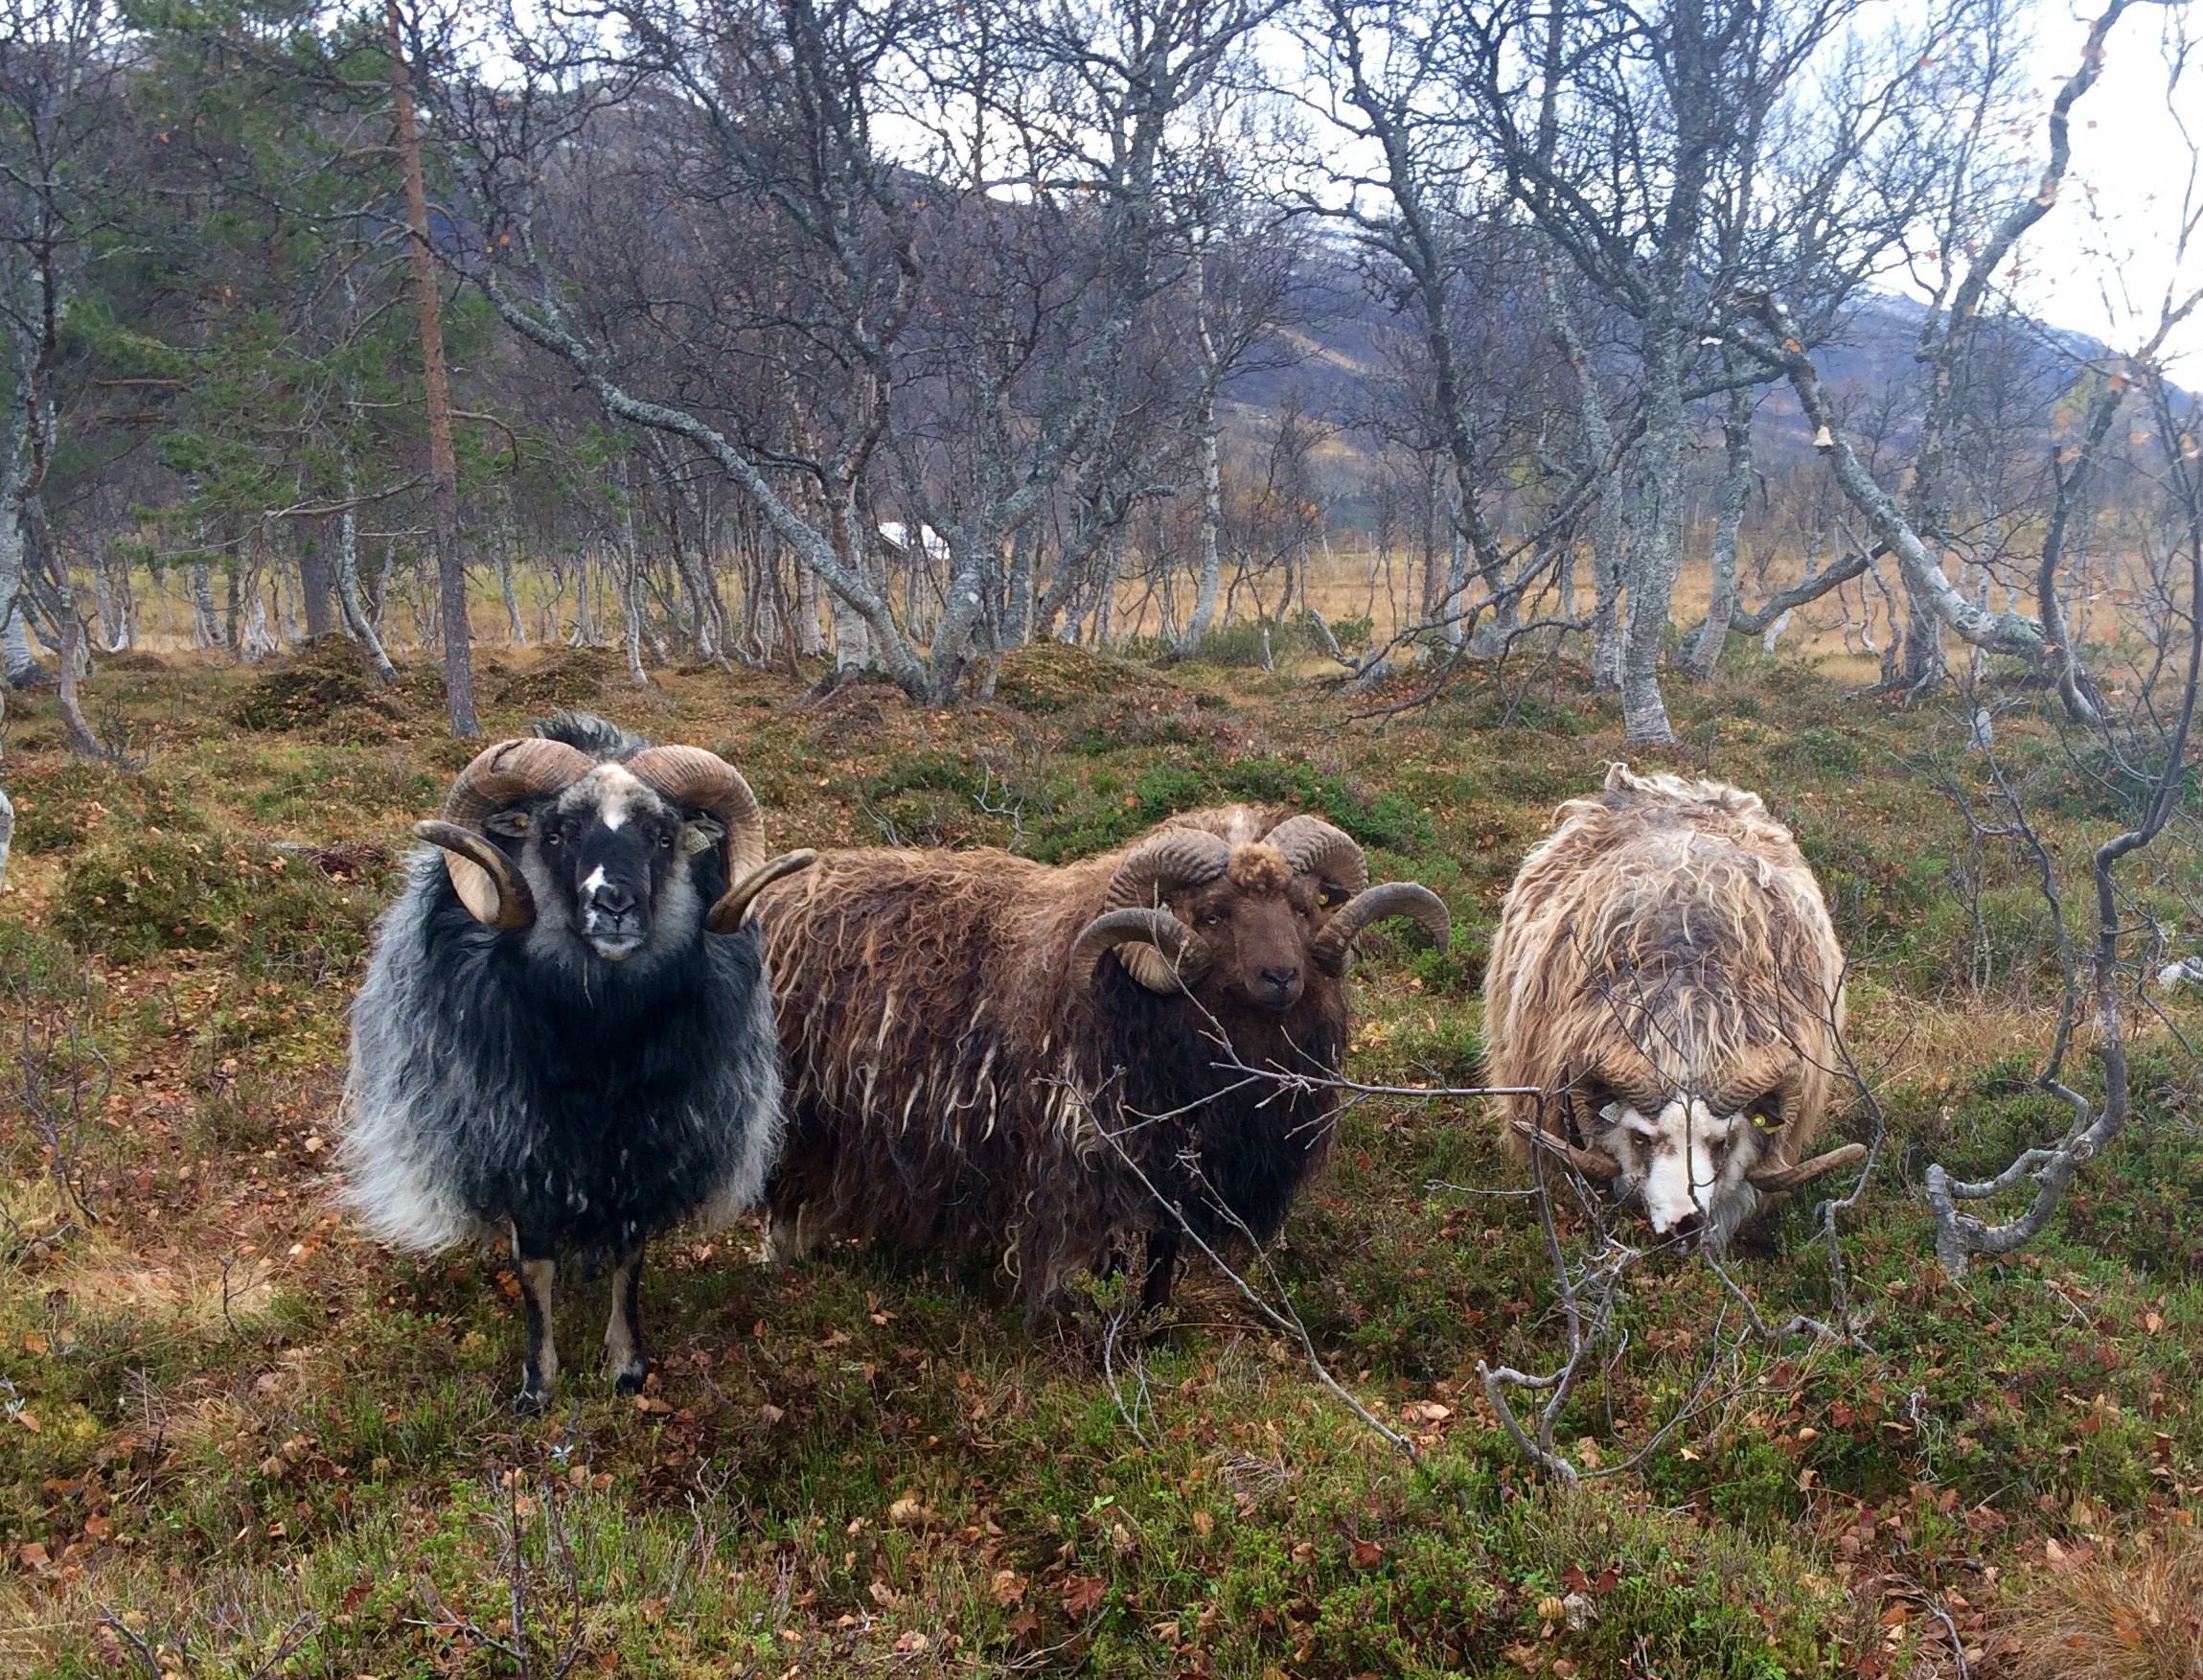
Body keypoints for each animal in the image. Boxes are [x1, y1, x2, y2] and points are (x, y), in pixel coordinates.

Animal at [339, 712, 814, 1408]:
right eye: (557, 833)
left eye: (663, 835)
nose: (614, 905)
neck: (599, 1050)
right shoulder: (525, 1156)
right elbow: (534, 1267)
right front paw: (538, 1385)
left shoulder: (641, 1158)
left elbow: (628, 1261)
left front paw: (627, 1366)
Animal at [753, 805, 1450, 1313]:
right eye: (1213, 915)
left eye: (1301, 908)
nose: (1282, 977)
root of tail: (769, 897)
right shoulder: (1086, 1164)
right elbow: (1101, 1258)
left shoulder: (1179, 1175)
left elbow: (1164, 1253)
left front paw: (1153, 1326)